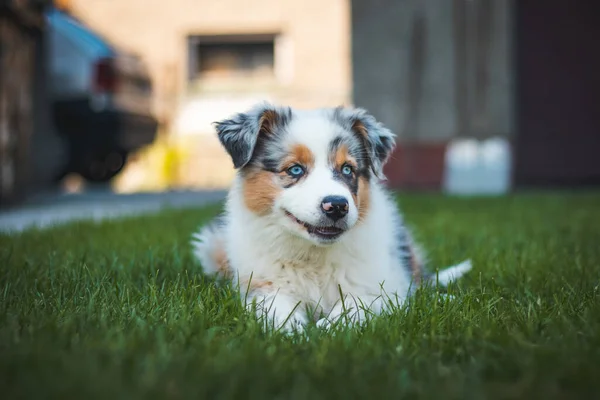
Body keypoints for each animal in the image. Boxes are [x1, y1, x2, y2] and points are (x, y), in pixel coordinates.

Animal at [191, 102, 468, 332]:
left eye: (347, 169)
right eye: (295, 169)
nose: (336, 206)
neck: (313, 256)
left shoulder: (381, 284)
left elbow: (360, 304)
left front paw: (331, 328)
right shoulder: (262, 285)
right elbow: (276, 309)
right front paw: (293, 331)